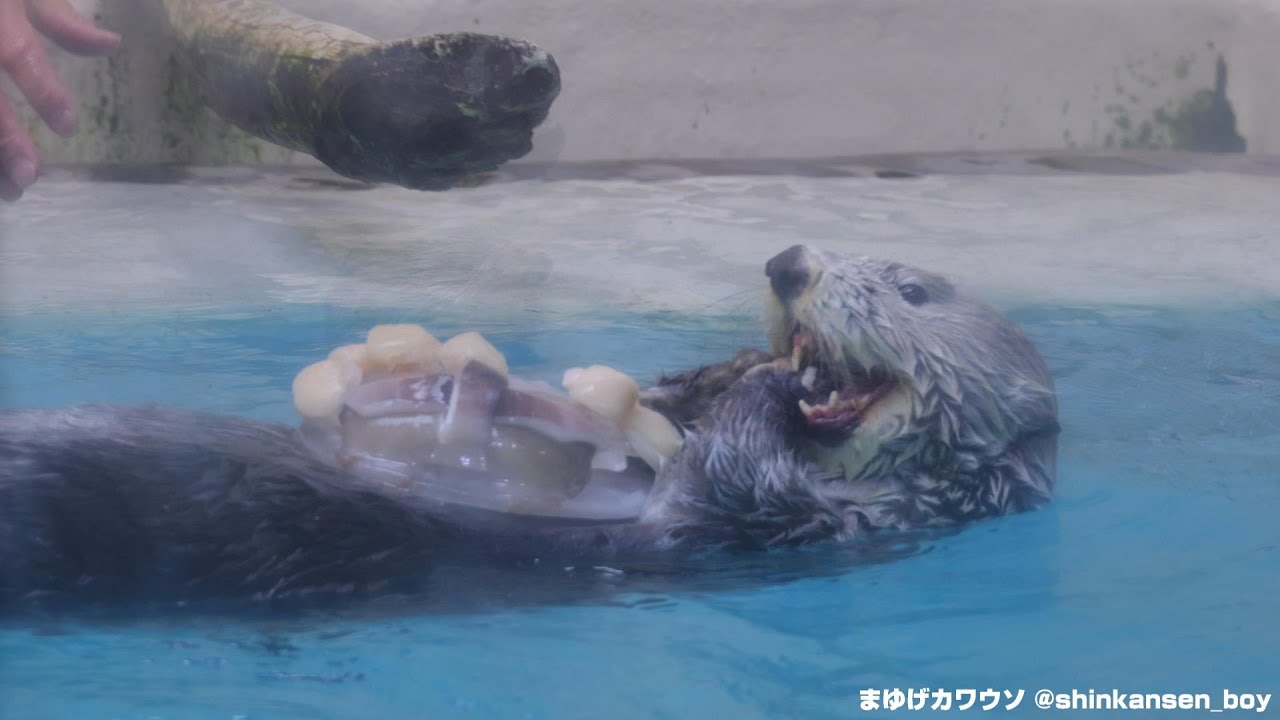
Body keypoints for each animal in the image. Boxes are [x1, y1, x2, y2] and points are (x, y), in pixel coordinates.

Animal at [0, 246, 1058, 611]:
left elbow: (731, 481)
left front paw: (764, 392)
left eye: (911, 292)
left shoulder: (794, 528)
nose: (790, 261)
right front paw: (710, 377)